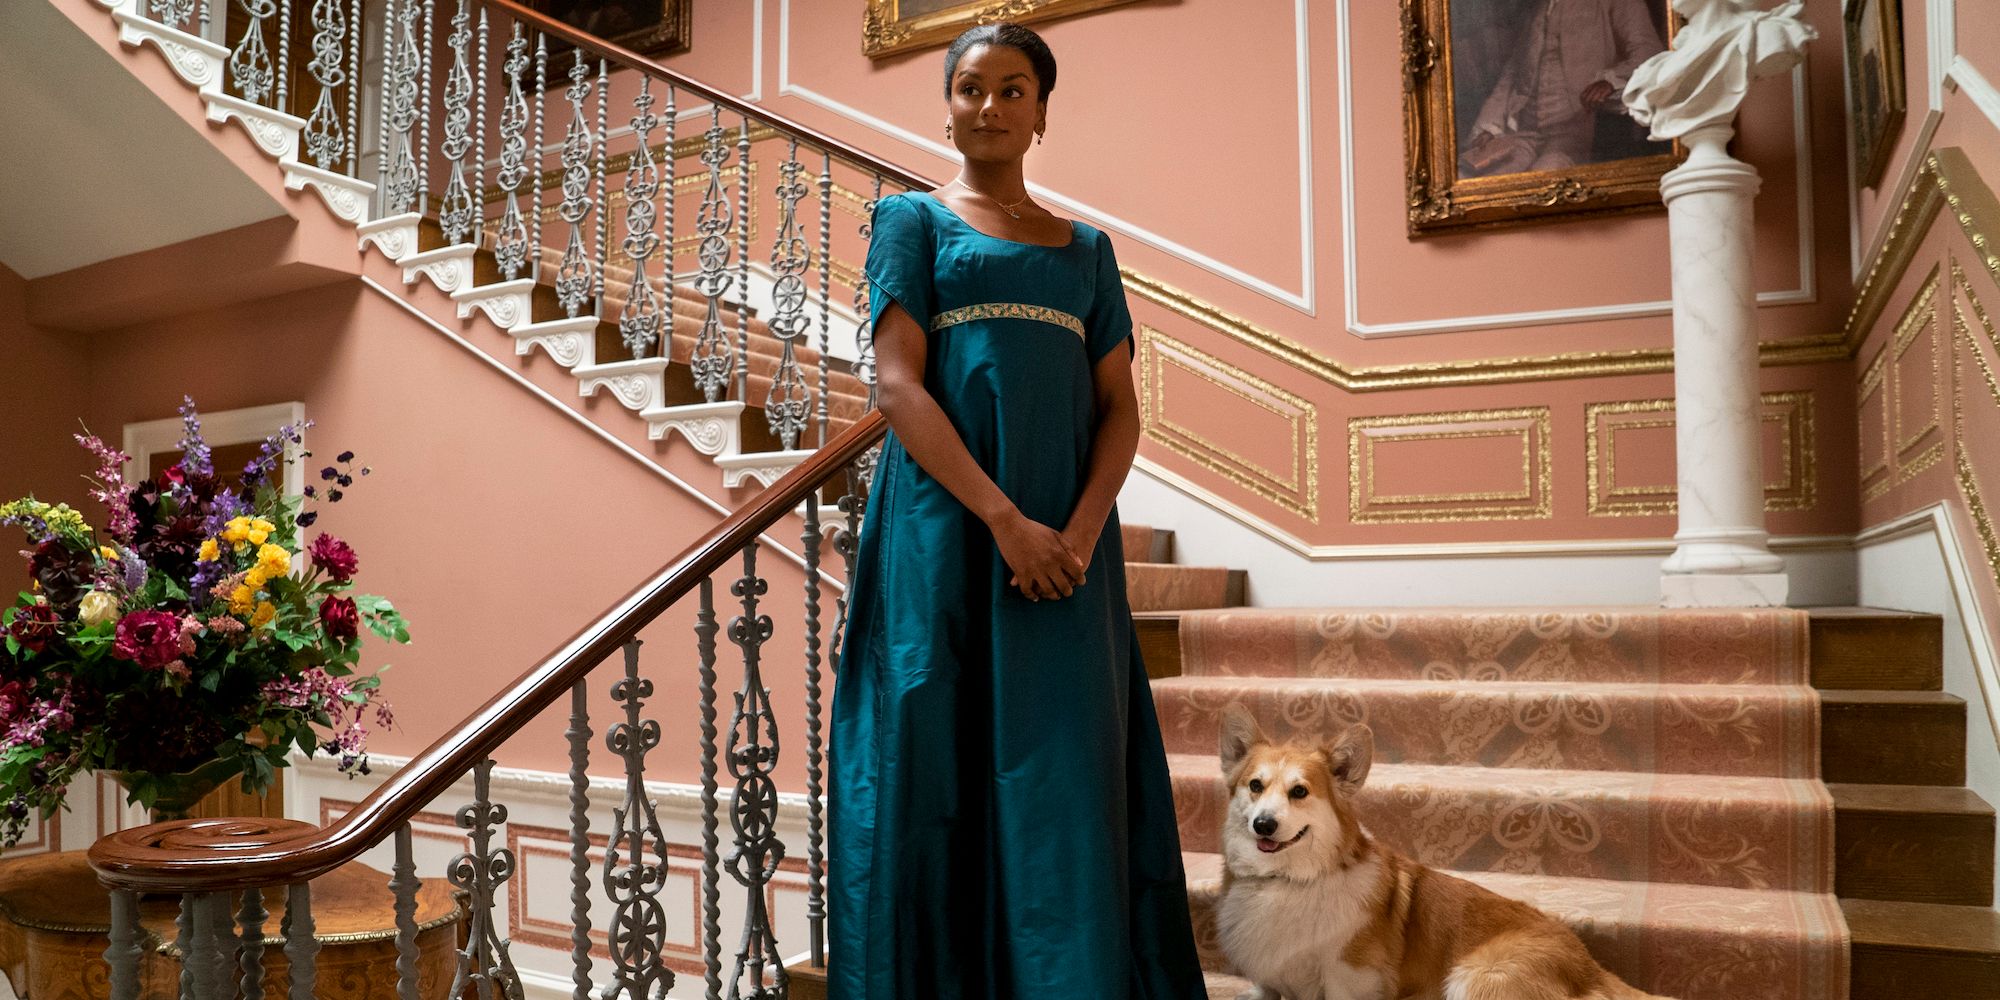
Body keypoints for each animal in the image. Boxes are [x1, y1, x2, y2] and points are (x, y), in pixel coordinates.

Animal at [1216, 704, 1672, 1000]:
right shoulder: (1270, 983)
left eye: (1299, 792)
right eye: (1255, 786)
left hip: (1473, 979)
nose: (1264, 825)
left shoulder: (1349, 980)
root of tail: (1592, 970)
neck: (1287, 882)